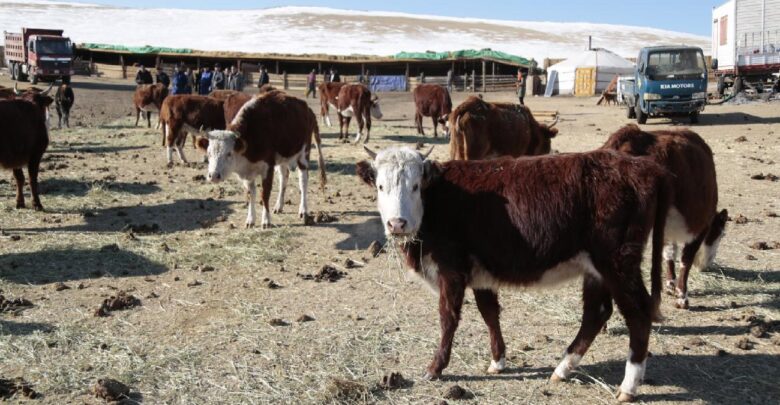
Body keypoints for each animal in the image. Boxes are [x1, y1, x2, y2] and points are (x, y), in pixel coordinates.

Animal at [195, 91, 327, 228]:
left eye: (229, 153)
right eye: (209, 153)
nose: (214, 176)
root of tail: (308, 110)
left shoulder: (267, 168)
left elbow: (265, 194)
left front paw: (266, 221)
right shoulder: (248, 173)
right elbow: (251, 194)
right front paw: (250, 220)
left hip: (303, 154)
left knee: (303, 181)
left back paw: (303, 210)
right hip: (282, 159)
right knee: (283, 178)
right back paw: (279, 206)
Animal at [356, 146, 671, 403]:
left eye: (415, 186)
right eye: (381, 186)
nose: (397, 223)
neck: (439, 200)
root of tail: (642, 166)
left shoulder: (451, 271)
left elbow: (448, 318)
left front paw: (435, 368)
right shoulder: (480, 274)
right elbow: (489, 313)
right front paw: (498, 361)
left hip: (618, 263)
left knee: (638, 314)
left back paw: (628, 387)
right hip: (596, 270)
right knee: (597, 313)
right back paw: (562, 369)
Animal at [602, 124, 728, 309]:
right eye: (721, 235)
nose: (708, 264)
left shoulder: (666, 229)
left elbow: (668, 254)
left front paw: (670, 284)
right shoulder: (699, 226)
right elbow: (686, 259)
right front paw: (682, 296)